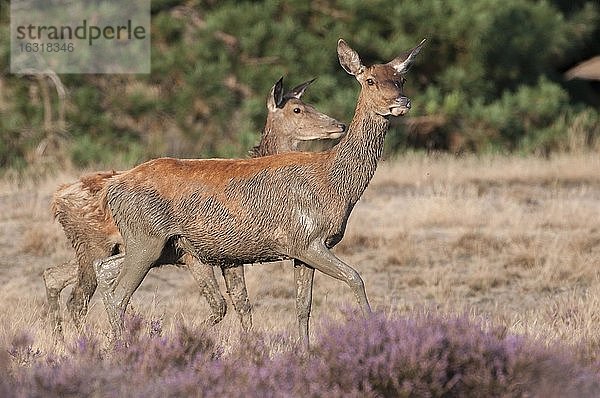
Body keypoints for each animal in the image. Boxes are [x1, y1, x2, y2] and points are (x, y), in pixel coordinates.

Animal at [43, 75, 346, 336]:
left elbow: (241, 304)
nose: (339, 125)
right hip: (95, 244)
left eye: (309, 104)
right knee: (78, 299)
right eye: (297, 109)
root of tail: (57, 198)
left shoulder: (227, 256)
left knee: (53, 275)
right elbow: (227, 304)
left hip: (91, 248)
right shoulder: (205, 254)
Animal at [97, 36, 426, 346]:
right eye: (369, 80)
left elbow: (303, 306)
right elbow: (356, 278)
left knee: (103, 269)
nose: (402, 102)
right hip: (146, 238)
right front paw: (375, 333)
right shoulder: (305, 239)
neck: (334, 185)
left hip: (163, 246)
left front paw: (305, 352)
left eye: (401, 79)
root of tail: (113, 189)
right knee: (119, 295)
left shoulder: (302, 249)